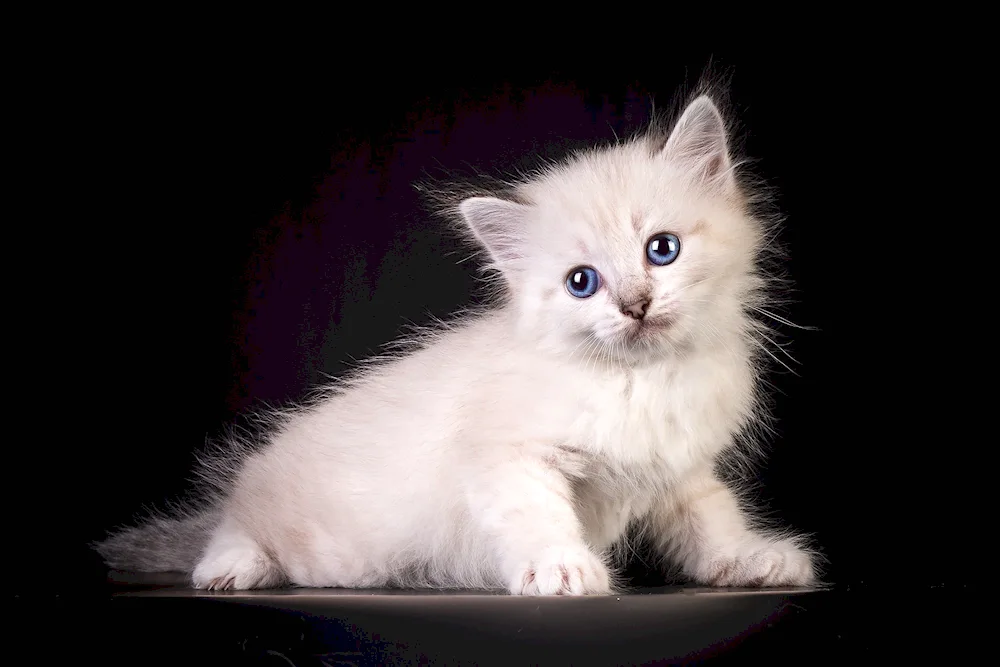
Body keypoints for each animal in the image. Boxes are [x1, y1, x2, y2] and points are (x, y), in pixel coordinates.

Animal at [97, 90, 820, 596]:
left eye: (661, 249)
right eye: (581, 282)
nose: (635, 305)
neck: (642, 380)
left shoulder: (680, 472)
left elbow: (713, 522)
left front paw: (754, 558)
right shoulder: (512, 458)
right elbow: (539, 517)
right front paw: (562, 568)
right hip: (315, 537)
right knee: (235, 525)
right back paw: (229, 567)